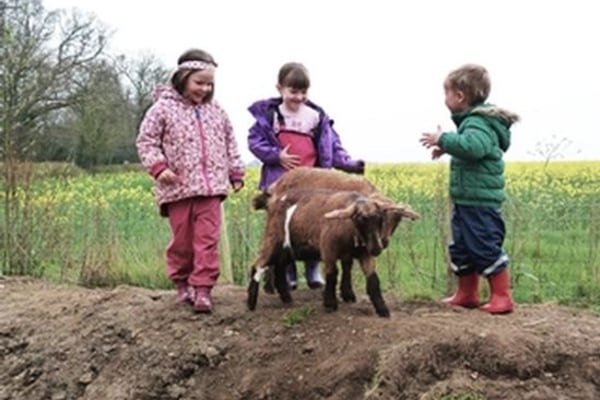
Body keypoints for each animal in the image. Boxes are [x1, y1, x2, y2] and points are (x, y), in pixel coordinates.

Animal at [246, 189, 420, 318]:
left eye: (380, 218)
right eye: (359, 219)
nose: (378, 247)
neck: (350, 231)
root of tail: (272, 200)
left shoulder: (365, 254)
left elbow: (372, 279)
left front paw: (382, 309)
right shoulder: (328, 250)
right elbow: (332, 274)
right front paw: (330, 304)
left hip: (288, 249)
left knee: (279, 268)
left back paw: (287, 299)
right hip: (273, 239)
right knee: (258, 265)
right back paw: (251, 303)